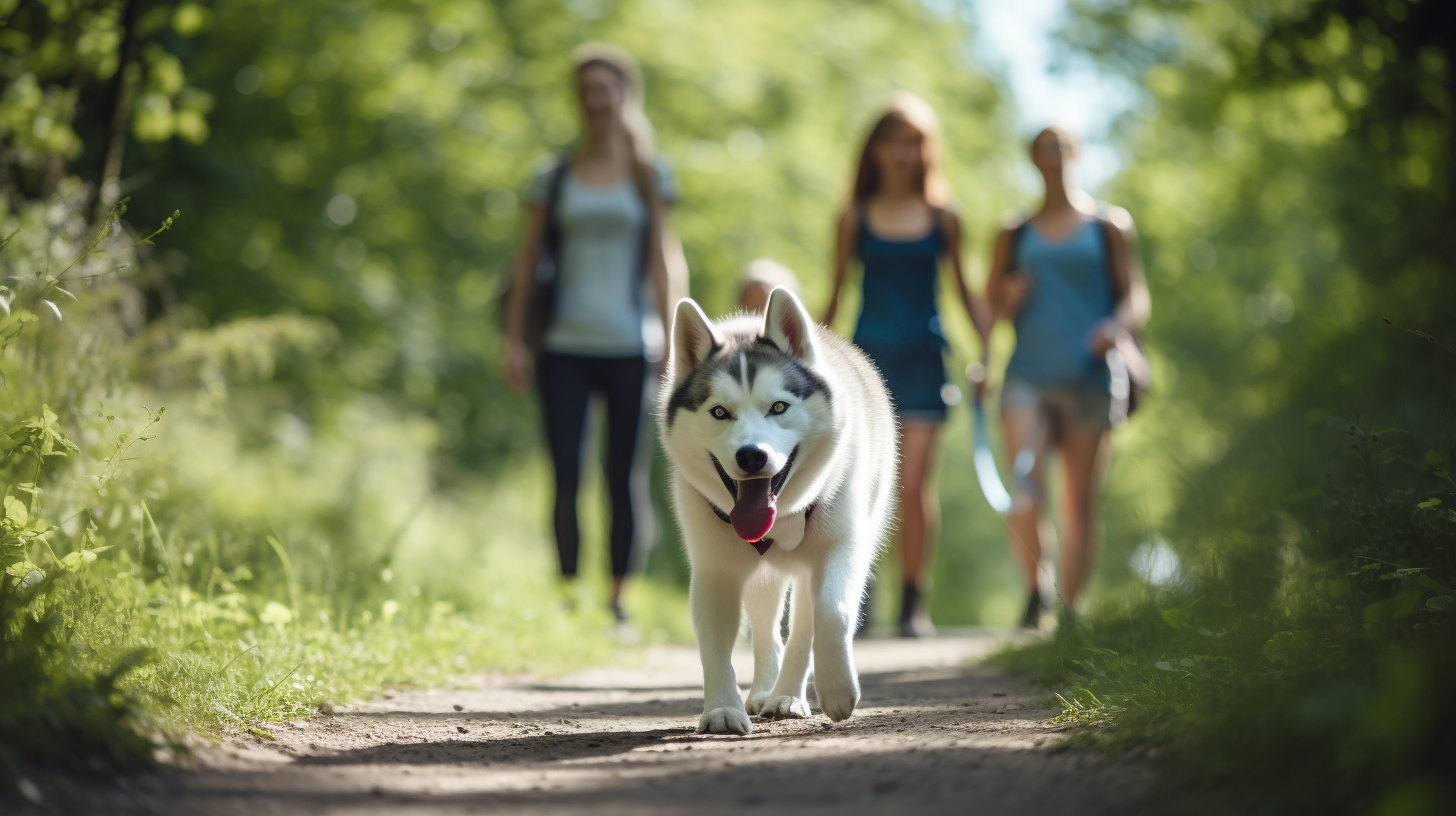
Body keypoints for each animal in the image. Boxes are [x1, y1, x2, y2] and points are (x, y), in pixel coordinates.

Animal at [655, 287, 891, 734]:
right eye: (719, 412)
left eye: (779, 407)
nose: (751, 456)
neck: (780, 521)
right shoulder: (716, 570)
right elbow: (714, 645)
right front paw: (721, 709)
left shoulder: (843, 547)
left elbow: (831, 612)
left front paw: (838, 688)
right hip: (759, 577)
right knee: (767, 631)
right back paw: (765, 690)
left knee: (803, 625)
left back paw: (787, 696)